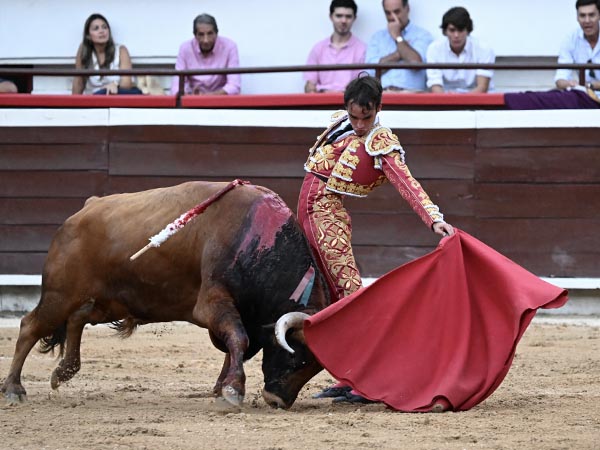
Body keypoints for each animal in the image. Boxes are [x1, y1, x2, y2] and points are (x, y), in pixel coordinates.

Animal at [1, 181, 328, 410]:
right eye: (298, 356)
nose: (277, 401)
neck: (257, 242)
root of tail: (82, 212)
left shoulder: (244, 313)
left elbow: (236, 345)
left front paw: (221, 387)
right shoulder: (213, 303)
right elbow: (238, 338)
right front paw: (232, 391)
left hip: (111, 301)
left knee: (78, 318)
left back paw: (64, 371)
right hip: (61, 294)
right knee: (30, 326)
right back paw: (14, 389)